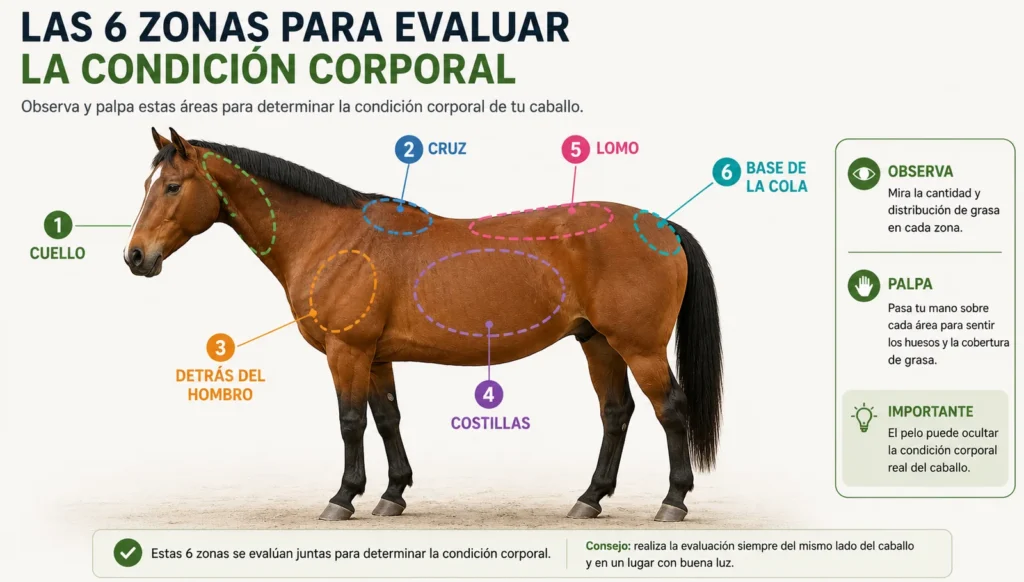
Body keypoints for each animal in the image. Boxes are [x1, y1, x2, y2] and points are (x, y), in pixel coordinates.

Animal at [125, 128, 723, 522]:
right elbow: (387, 418)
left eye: (172, 186)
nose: (135, 256)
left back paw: (672, 502)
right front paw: (392, 495)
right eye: (147, 184)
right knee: (616, 413)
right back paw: (589, 499)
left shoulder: (347, 350)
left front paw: (342, 498)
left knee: (669, 409)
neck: (333, 238)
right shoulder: (376, 355)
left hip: (639, 347)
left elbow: (350, 422)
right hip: (597, 342)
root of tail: (662, 226)